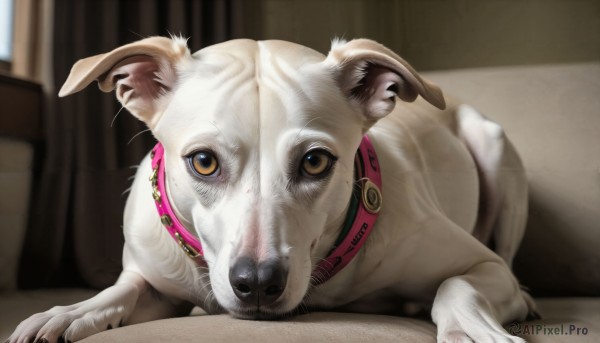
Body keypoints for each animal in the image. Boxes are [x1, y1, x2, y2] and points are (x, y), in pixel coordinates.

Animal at [8, 37, 536, 343]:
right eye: (203, 162)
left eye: (315, 161)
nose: (257, 283)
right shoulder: (154, 281)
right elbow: (121, 290)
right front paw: (68, 313)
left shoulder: (482, 265)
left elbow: (457, 284)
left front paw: (471, 329)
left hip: (494, 150)